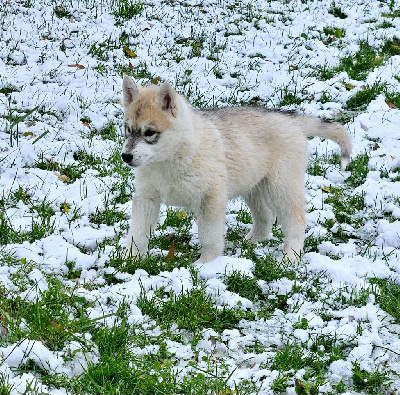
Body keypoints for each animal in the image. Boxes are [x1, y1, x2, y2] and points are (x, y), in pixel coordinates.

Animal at [120, 76, 352, 264]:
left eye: (150, 132)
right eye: (127, 129)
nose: (126, 156)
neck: (169, 160)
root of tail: (289, 119)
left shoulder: (210, 199)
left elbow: (209, 236)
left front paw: (206, 264)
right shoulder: (146, 198)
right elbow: (137, 231)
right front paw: (130, 259)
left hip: (282, 188)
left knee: (296, 222)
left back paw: (290, 258)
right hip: (254, 187)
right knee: (265, 217)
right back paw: (251, 241)